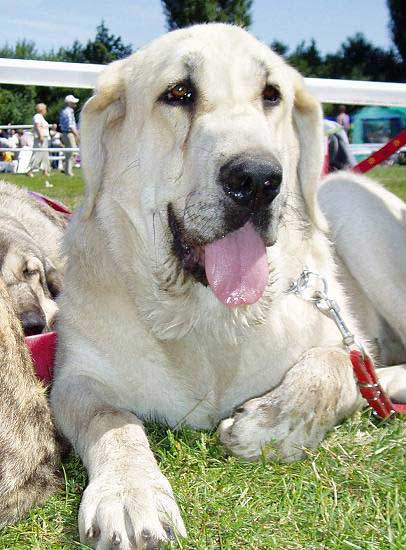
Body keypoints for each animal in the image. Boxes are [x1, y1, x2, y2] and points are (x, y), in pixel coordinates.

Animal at [50, 23, 406, 548]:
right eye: (179, 93)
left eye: (271, 94)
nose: (257, 178)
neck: (207, 322)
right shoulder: (76, 377)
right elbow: (111, 420)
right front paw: (130, 494)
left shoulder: (339, 334)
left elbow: (333, 368)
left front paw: (270, 425)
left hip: (349, 202)